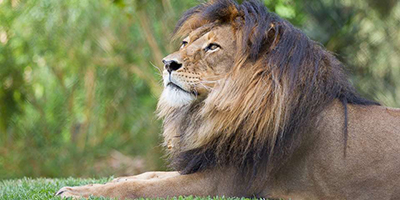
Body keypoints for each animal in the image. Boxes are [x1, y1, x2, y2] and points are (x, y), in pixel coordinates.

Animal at [55, 0, 400, 199]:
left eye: (212, 47)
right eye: (186, 43)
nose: (168, 63)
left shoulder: (224, 184)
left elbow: (140, 188)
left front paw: (77, 192)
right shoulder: (207, 162)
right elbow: (147, 175)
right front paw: (104, 179)